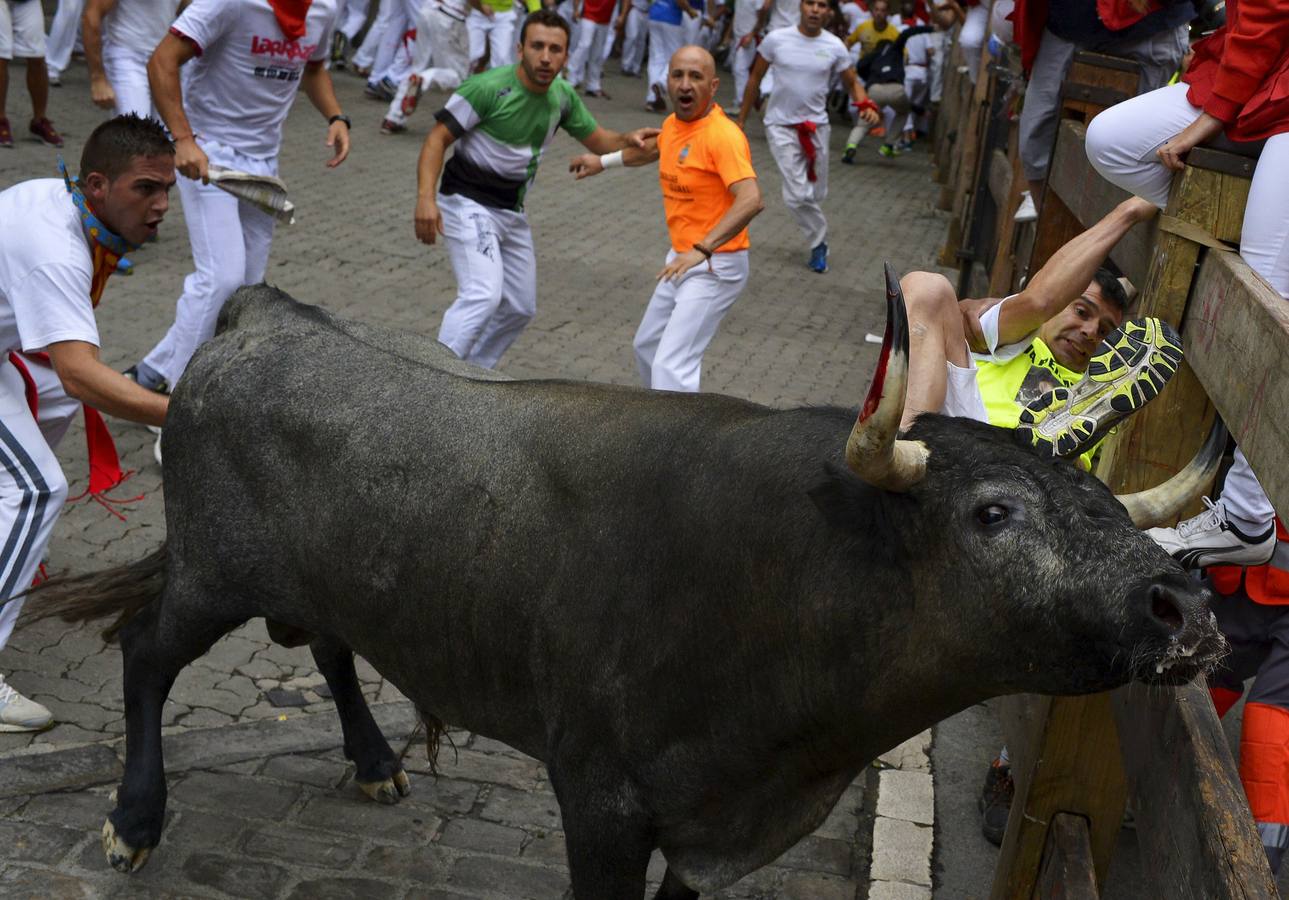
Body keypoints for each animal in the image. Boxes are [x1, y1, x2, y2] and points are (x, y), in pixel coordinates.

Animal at [25, 274, 1221, 897]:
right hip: (210, 574)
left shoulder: (716, 834)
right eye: (992, 513)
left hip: (326, 582)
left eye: (1108, 507)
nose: (1185, 607)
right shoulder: (598, 803)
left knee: (327, 644)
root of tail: (267, 312)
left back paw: (372, 762)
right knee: (145, 654)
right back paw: (134, 820)